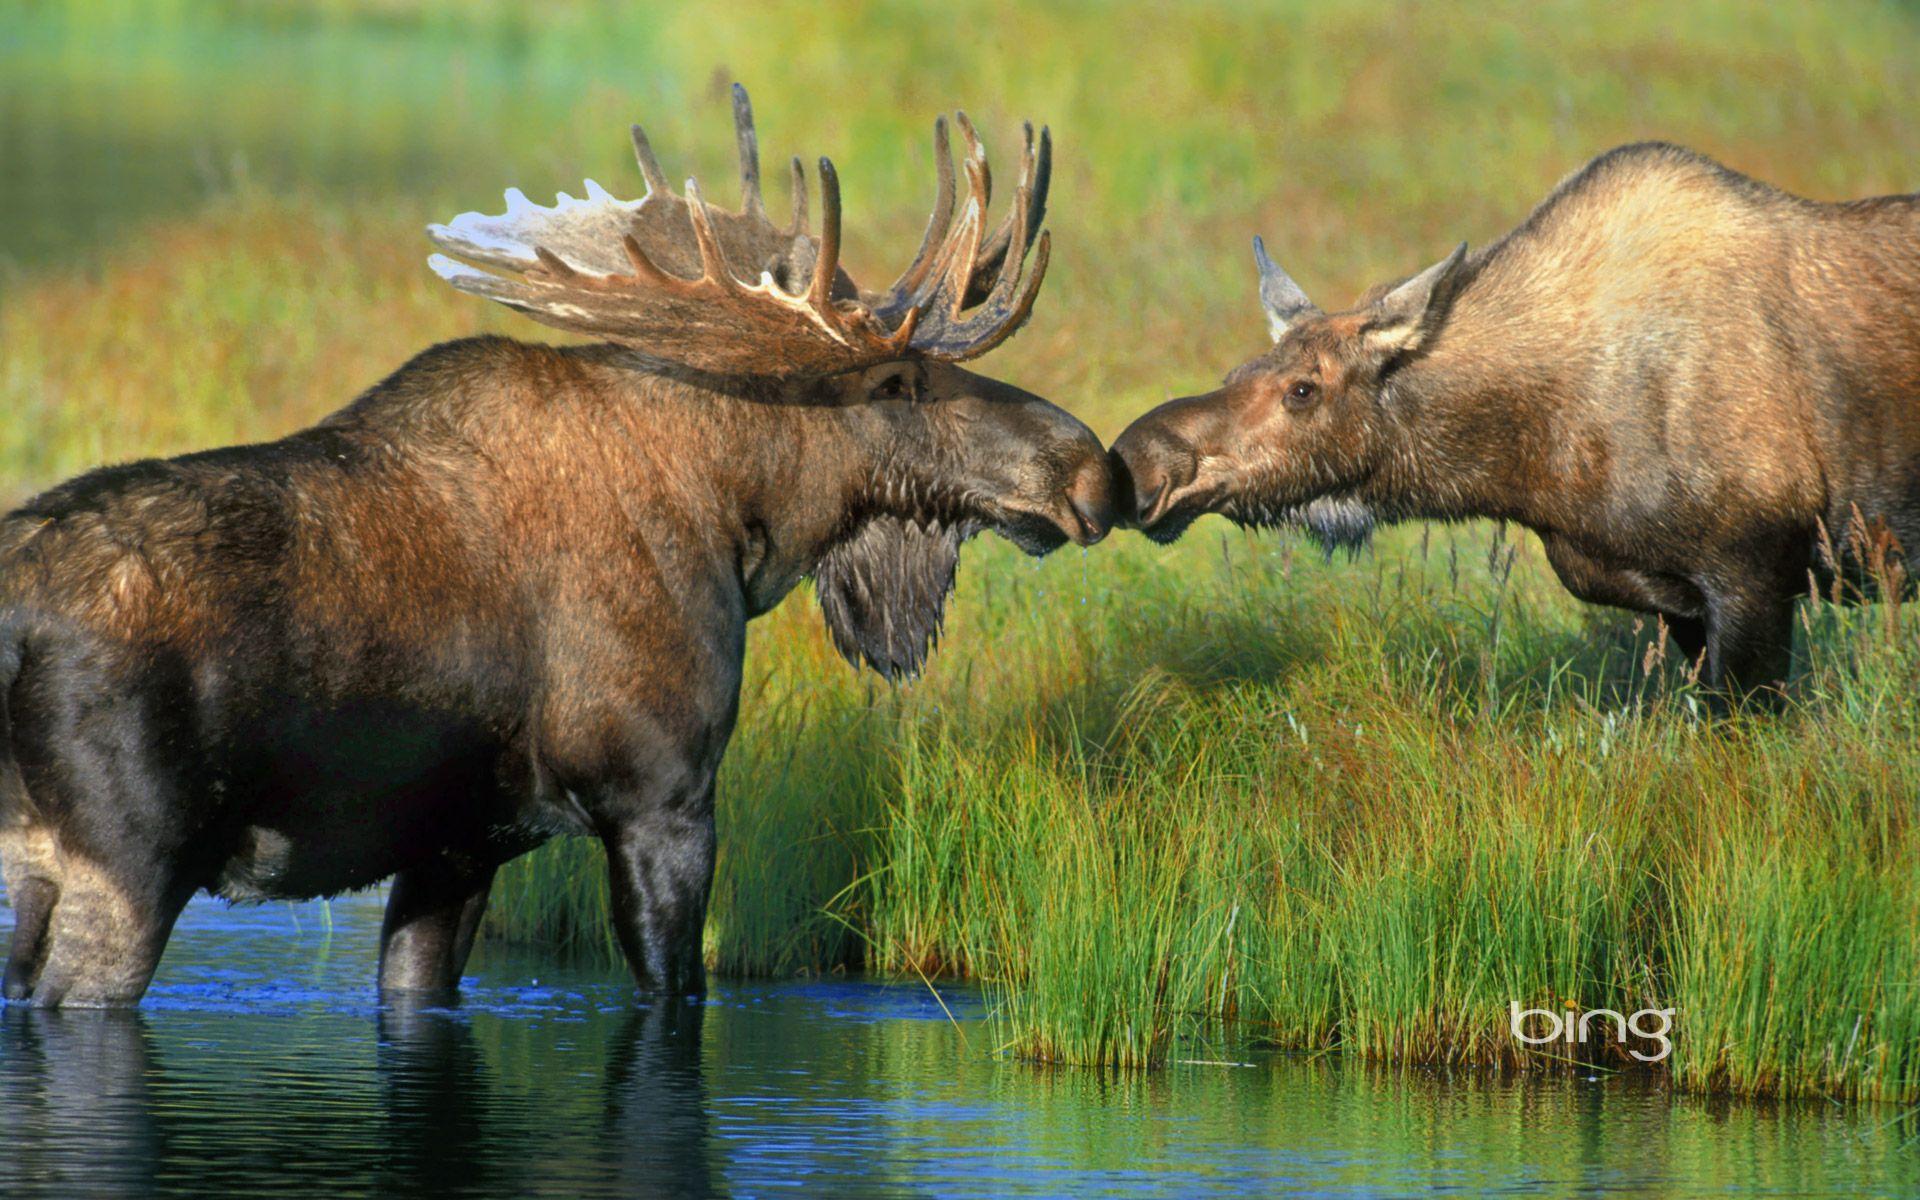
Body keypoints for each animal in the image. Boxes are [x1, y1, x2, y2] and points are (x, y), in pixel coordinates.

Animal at [0, 85, 1112, 1008]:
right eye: (901, 383)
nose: (1092, 470)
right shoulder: (663, 794)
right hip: (125, 855)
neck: (738, 523)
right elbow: (674, 995)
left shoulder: (458, 844)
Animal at [1111, 142, 1920, 697]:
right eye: (1235, 373)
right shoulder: (1679, 603)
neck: (1534, 463)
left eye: (1304, 390)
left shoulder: (1755, 574)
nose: (1141, 459)